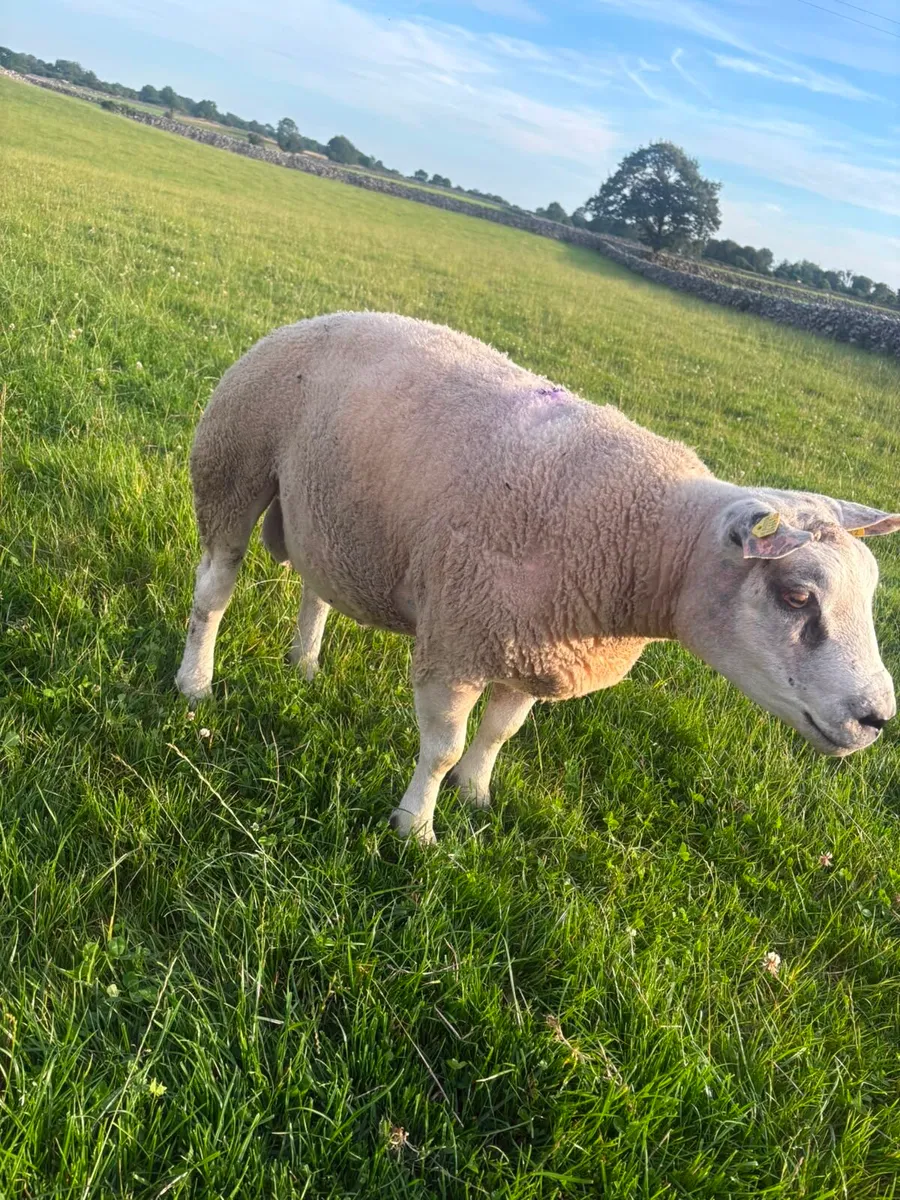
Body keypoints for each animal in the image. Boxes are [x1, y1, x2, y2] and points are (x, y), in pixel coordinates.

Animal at [176, 311, 900, 843]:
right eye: (796, 596)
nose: (878, 720)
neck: (649, 542)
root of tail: (312, 317)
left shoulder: (538, 649)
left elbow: (500, 733)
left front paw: (476, 797)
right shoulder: (458, 641)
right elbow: (442, 748)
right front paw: (416, 830)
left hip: (329, 516)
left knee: (317, 590)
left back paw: (303, 663)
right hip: (232, 464)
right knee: (214, 590)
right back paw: (195, 682)